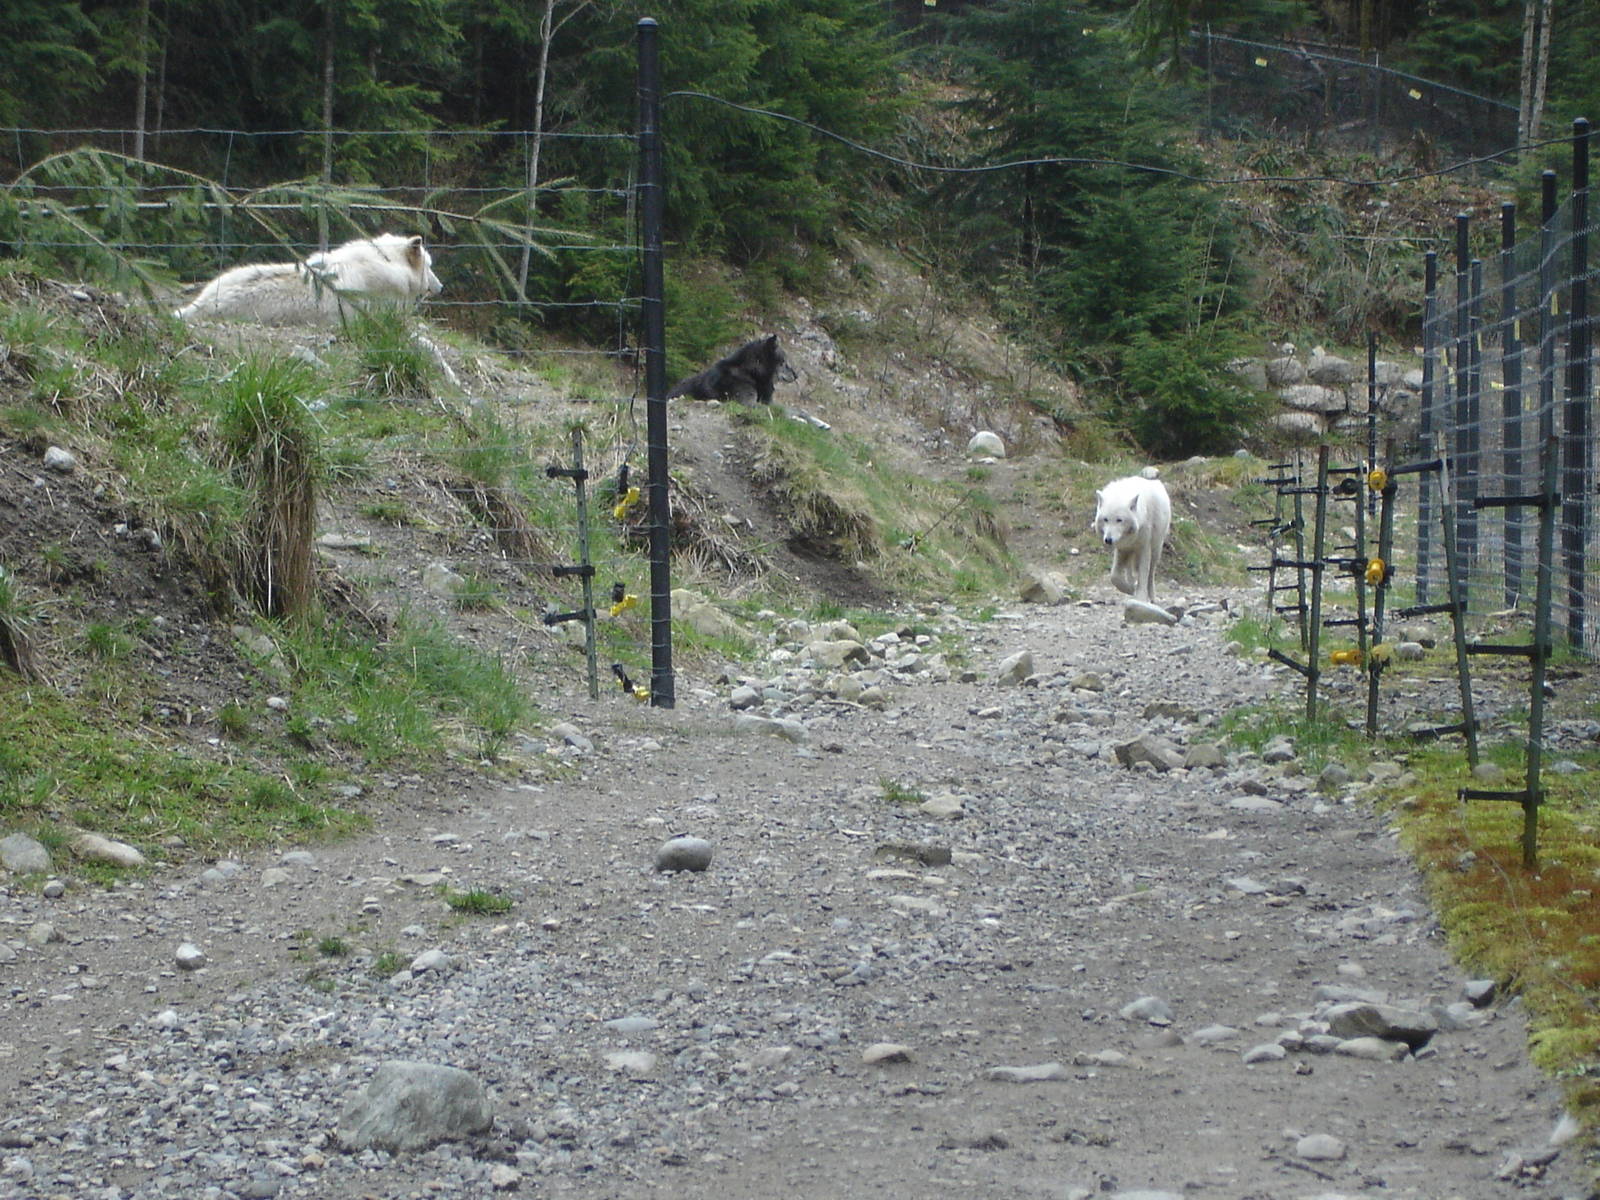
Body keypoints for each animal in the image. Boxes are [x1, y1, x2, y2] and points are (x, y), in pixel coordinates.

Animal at [1093, 474, 1172, 604]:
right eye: (1105, 519)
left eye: (1119, 520)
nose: (1108, 540)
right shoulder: (1122, 549)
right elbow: (1114, 577)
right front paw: (1130, 589)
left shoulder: (1144, 547)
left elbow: (1143, 575)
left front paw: (1140, 597)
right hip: (1131, 552)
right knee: (1129, 571)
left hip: (1155, 550)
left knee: (1151, 574)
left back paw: (1152, 597)